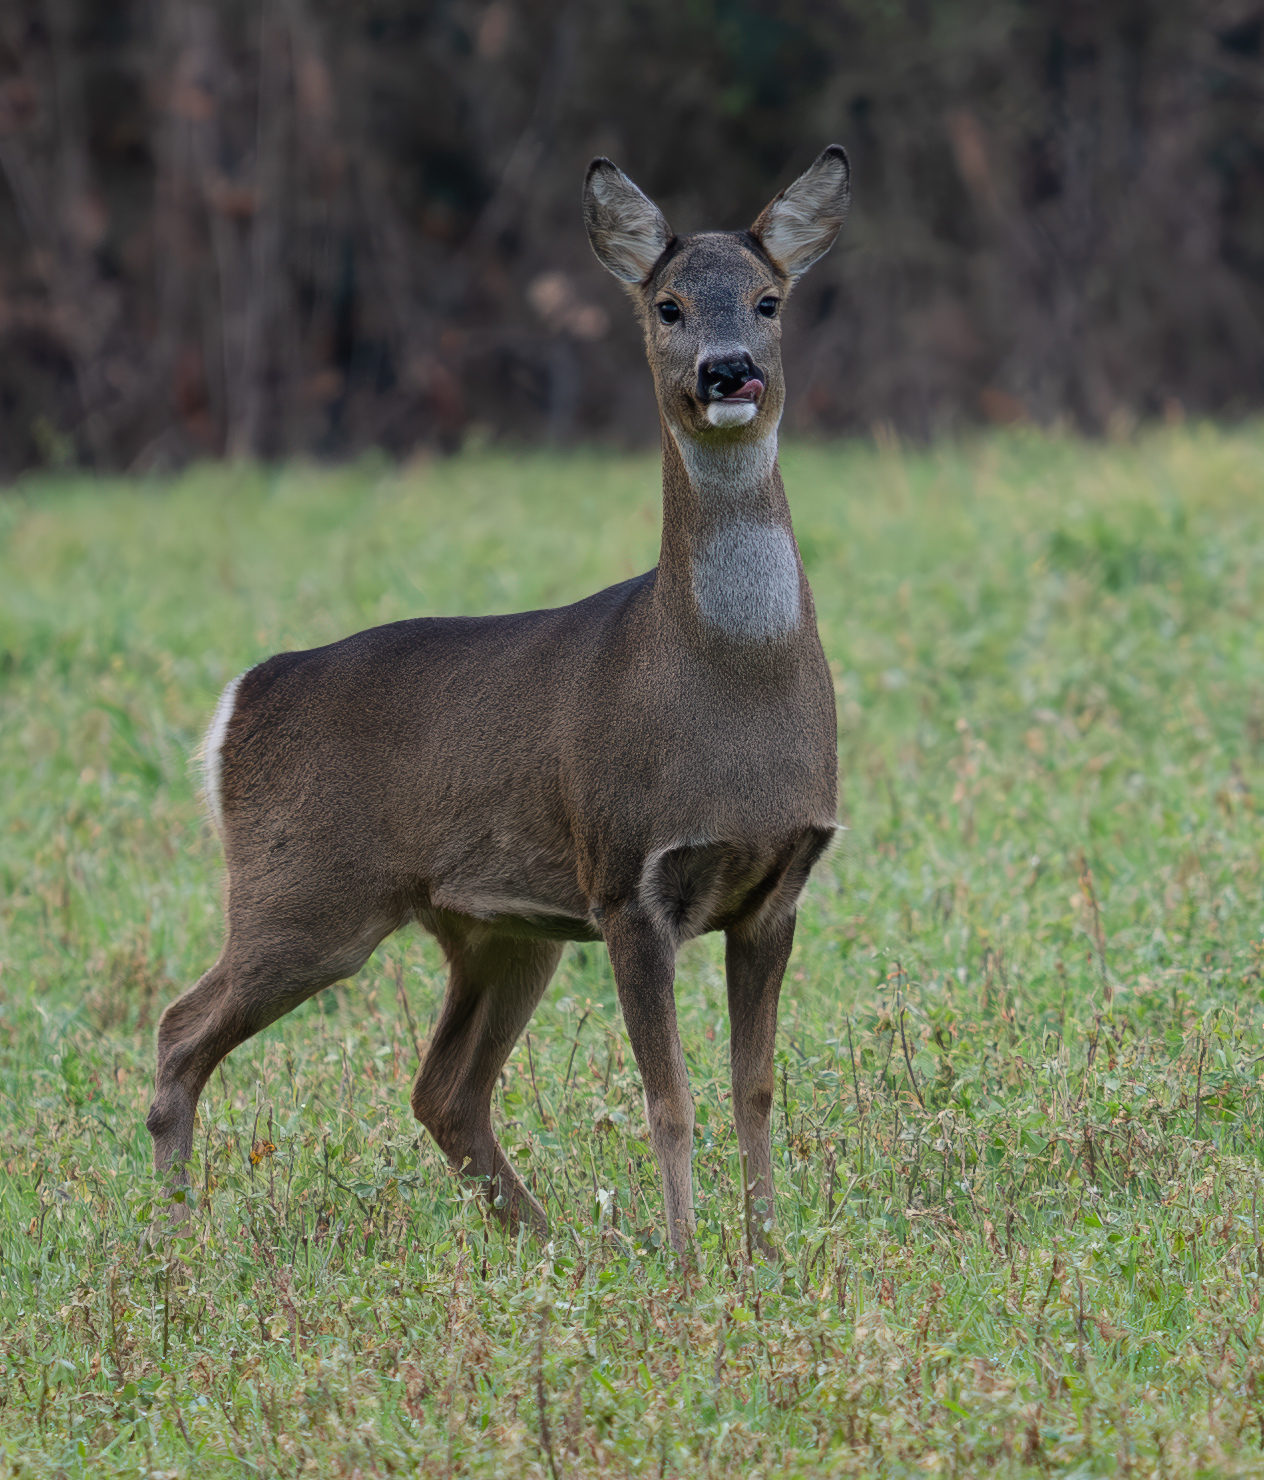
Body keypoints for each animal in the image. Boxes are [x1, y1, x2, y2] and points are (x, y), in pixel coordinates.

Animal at [146, 145, 851, 1257]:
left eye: (769, 300)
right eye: (667, 305)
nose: (727, 371)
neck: (729, 685)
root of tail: (235, 704)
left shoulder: (778, 886)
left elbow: (756, 1090)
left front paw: (769, 1256)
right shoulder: (626, 879)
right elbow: (670, 1100)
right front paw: (689, 1266)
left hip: (496, 930)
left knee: (443, 1089)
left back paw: (554, 1245)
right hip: (300, 892)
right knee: (181, 1031)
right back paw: (176, 1240)